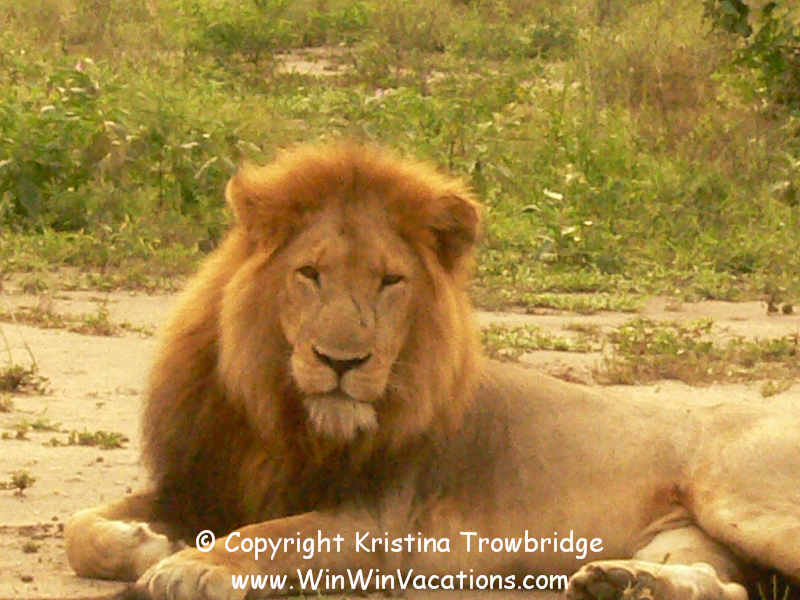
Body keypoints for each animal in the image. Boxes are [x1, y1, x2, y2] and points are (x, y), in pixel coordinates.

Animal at [65, 141, 800, 600]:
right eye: (310, 274)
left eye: (390, 282)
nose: (342, 362)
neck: (279, 416)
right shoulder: (199, 482)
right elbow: (78, 528)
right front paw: (142, 543)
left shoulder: (375, 527)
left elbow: (269, 536)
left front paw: (194, 563)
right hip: (687, 536)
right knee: (728, 586)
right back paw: (625, 584)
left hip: (740, 499)